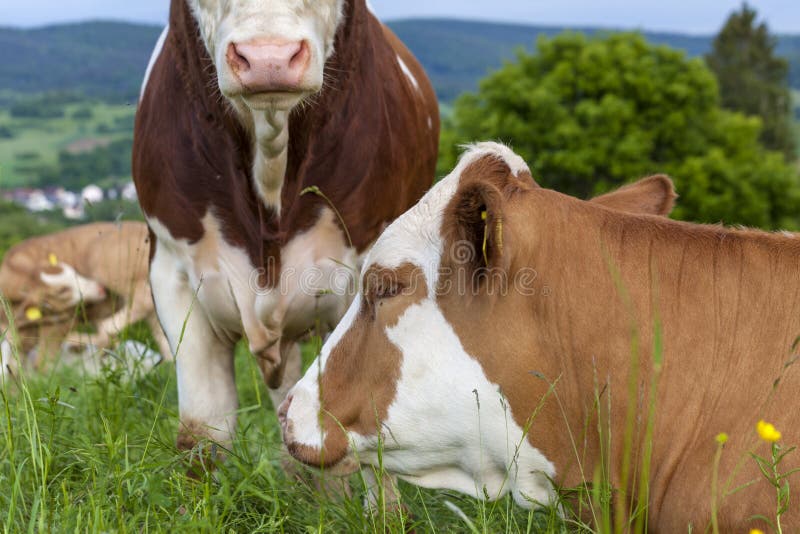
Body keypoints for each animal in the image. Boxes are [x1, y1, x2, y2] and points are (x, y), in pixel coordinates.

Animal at [0, 222, 170, 376]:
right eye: (62, 291)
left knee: (145, 300)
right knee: (161, 328)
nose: (100, 288)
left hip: (108, 264)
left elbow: (43, 361)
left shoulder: (63, 322)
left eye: (74, 272)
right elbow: (15, 365)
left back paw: (100, 334)